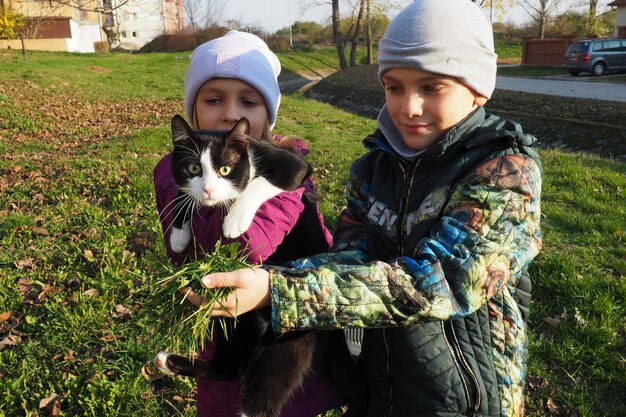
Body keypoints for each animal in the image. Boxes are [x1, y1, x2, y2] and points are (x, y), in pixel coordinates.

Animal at [153, 115, 364, 416]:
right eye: (193, 167)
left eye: (225, 169)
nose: (207, 190)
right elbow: (180, 195)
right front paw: (179, 234)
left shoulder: (294, 165)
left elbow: (261, 181)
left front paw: (234, 219)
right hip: (239, 319)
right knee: (229, 368)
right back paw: (168, 361)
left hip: (290, 338)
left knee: (262, 398)